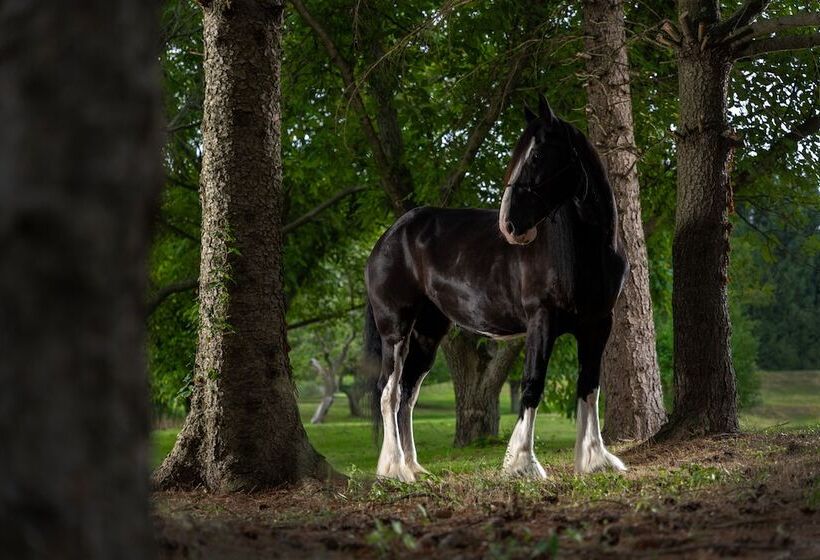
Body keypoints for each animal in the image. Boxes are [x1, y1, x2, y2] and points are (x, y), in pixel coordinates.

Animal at [363, 94, 628, 482]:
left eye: (537, 155)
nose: (509, 225)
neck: (587, 250)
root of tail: (389, 236)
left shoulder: (598, 324)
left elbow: (590, 386)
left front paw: (595, 459)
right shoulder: (541, 321)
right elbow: (533, 384)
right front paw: (523, 463)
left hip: (429, 331)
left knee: (408, 392)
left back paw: (414, 466)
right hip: (395, 329)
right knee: (389, 393)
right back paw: (395, 469)